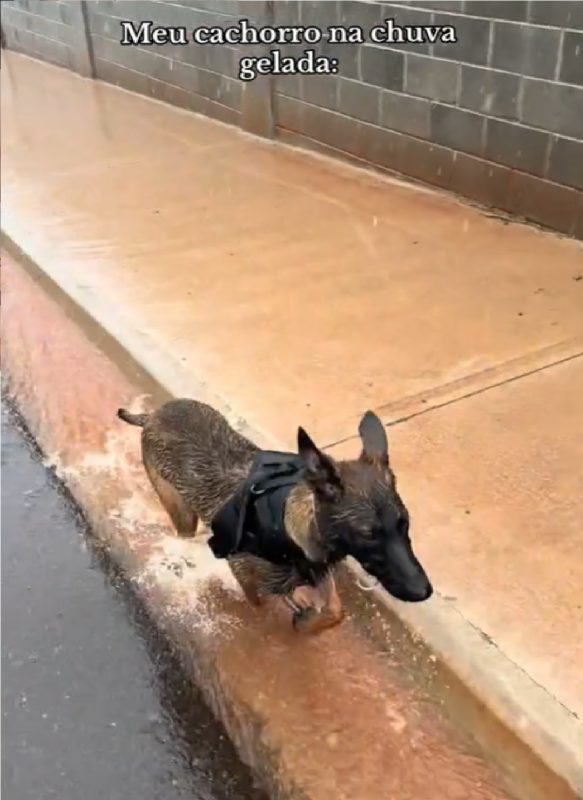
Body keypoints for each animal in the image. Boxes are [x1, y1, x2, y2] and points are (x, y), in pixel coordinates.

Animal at [117, 398, 434, 632]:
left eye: (405, 523)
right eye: (368, 533)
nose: (424, 591)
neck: (287, 526)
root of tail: (152, 415)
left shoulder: (317, 569)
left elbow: (334, 611)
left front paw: (308, 619)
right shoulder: (247, 577)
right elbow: (265, 603)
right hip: (181, 511)